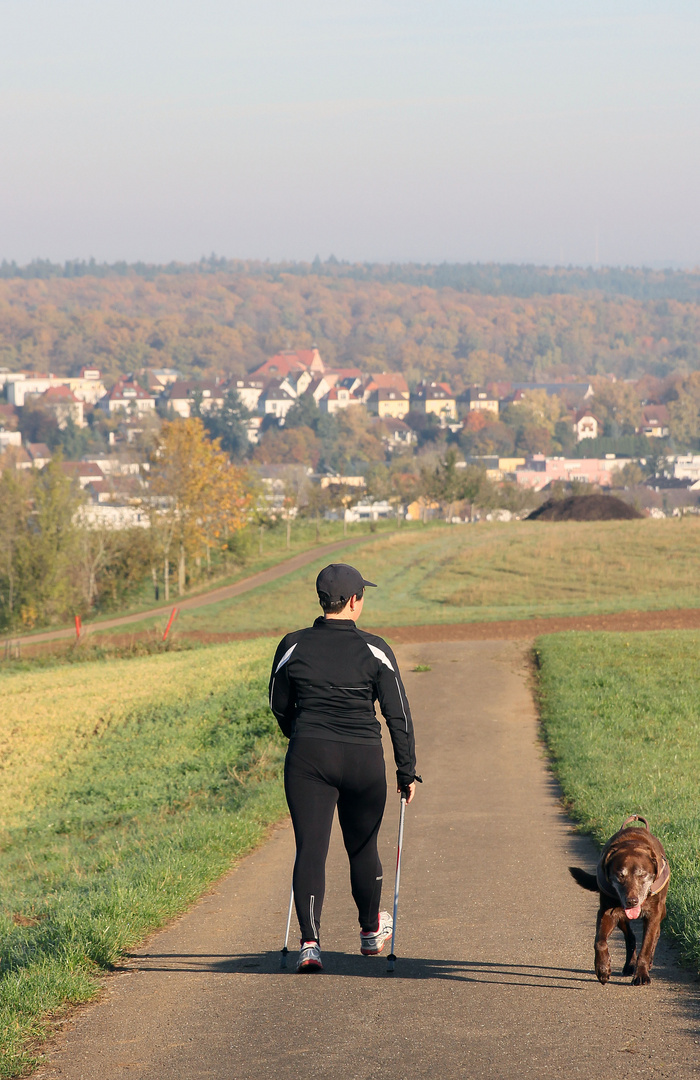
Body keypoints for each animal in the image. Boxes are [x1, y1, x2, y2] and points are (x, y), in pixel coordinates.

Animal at [570, 816, 669, 989]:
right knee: (630, 937)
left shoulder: (653, 914)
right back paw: (629, 965)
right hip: (621, 915)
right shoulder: (607, 912)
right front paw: (602, 969)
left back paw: (648, 962)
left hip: (660, 910)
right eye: (620, 875)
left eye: (642, 874)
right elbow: (600, 941)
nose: (632, 901)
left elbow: (646, 946)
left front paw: (641, 975)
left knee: (654, 935)